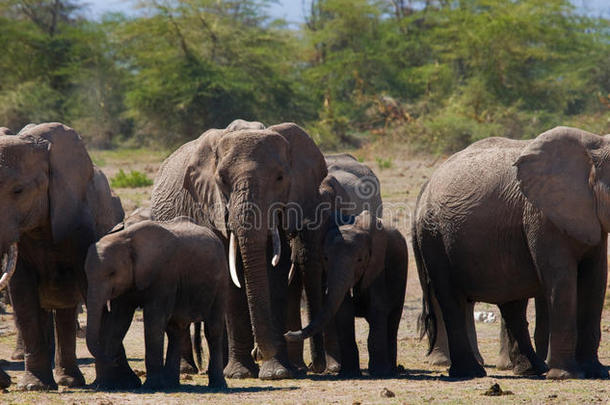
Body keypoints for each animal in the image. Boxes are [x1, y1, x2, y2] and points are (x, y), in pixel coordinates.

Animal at [0, 122, 122, 388]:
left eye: (18, 191)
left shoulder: (79, 213)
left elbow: (91, 282)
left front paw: (115, 381)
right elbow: (22, 293)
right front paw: (34, 385)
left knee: (66, 308)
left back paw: (71, 381)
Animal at [85, 219, 228, 390]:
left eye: (112, 273)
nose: (111, 360)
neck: (126, 239)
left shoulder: (164, 275)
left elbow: (154, 320)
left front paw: (151, 386)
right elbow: (118, 321)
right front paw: (107, 384)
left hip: (220, 282)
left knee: (213, 329)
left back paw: (218, 385)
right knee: (176, 329)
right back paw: (171, 384)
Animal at [150, 120, 328, 378]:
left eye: (280, 177)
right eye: (222, 180)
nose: (258, 352)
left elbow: (275, 276)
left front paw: (277, 372)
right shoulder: (211, 207)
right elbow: (231, 281)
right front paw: (240, 374)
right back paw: (189, 369)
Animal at [284, 211, 406, 376]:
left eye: (360, 260)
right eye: (325, 258)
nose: (286, 334)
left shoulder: (377, 264)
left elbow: (377, 307)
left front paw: (379, 372)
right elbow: (344, 311)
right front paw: (350, 373)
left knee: (393, 319)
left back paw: (391, 369)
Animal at [414, 127, 608, 378]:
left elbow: (596, 280)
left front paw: (596, 371)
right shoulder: (541, 215)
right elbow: (562, 279)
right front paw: (566, 376)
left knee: (511, 300)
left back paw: (532, 369)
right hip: (434, 235)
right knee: (451, 298)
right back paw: (471, 372)